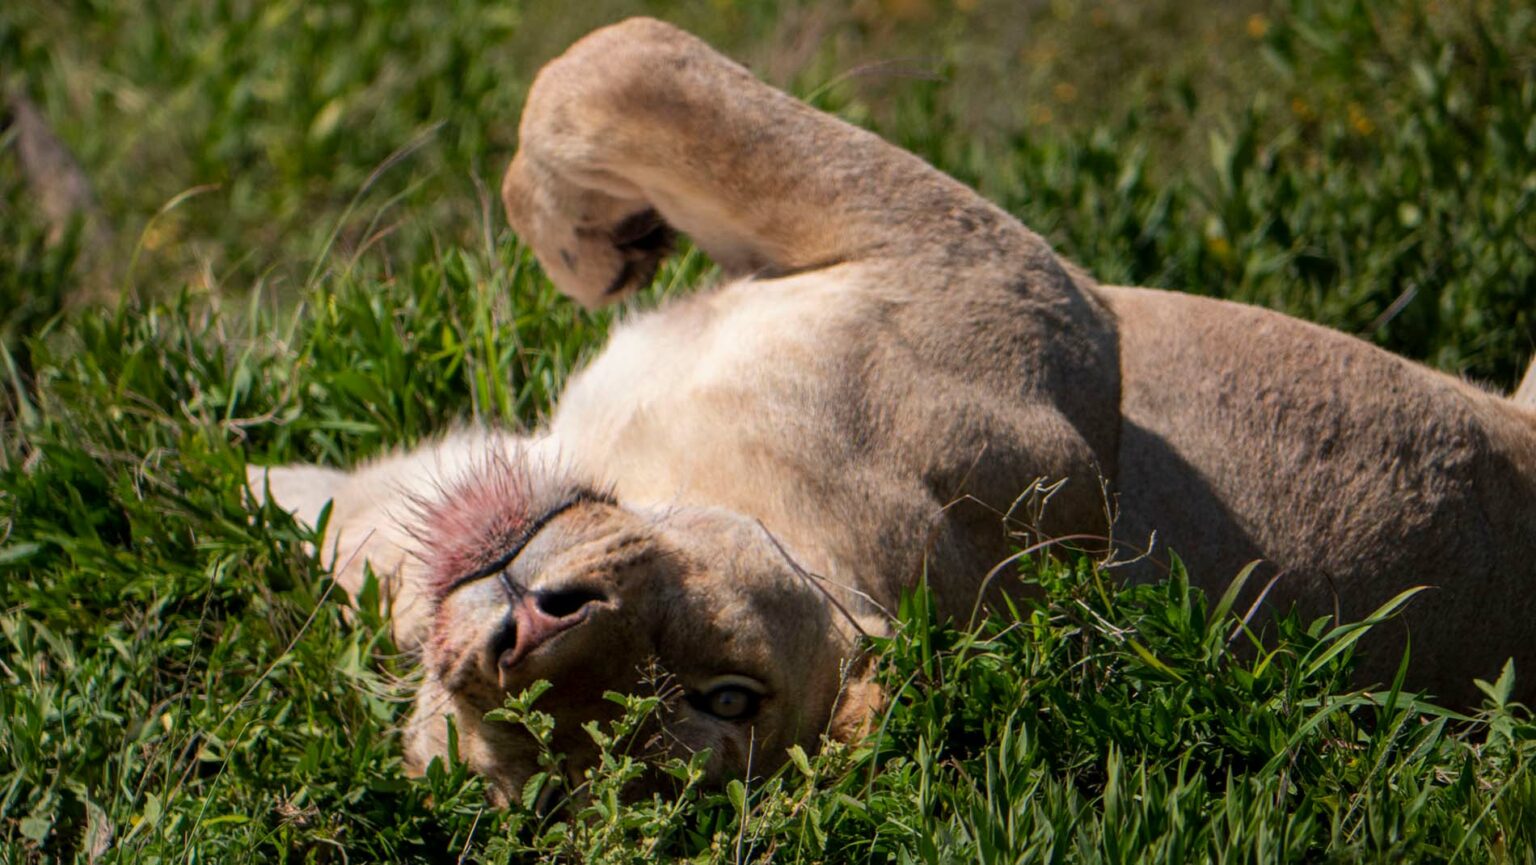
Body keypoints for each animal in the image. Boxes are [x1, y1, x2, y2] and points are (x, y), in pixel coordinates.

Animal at [245, 18, 1529, 805]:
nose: (532, 626)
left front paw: (589, 244)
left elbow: (614, 64)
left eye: (724, 693)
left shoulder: (1021, 298)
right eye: (517, 745)